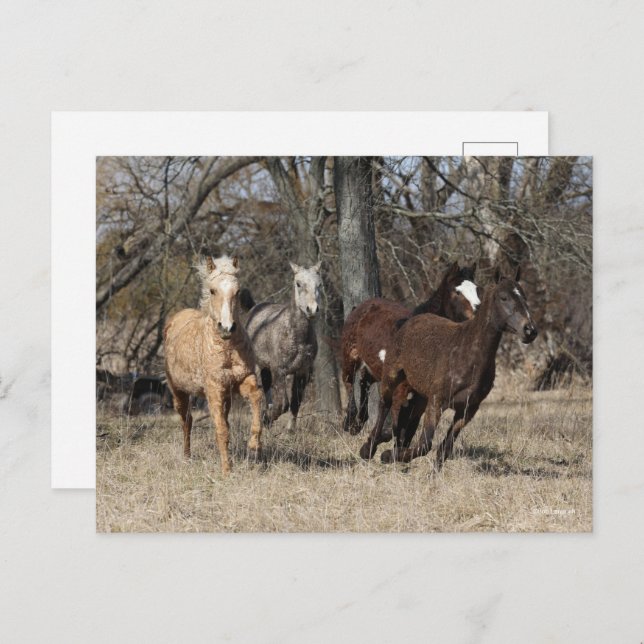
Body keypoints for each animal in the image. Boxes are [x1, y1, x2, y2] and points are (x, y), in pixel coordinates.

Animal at [164, 255, 264, 475]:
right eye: (212, 290)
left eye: (237, 291)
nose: (227, 328)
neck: (226, 348)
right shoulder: (214, 389)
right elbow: (221, 430)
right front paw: (227, 470)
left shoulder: (243, 380)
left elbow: (256, 399)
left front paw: (254, 446)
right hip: (179, 393)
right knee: (186, 421)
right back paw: (187, 458)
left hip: (226, 397)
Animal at [244, 261, 321, 430]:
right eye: (298, 284)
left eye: (319, 284)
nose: (312, 309)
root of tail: (254, 308)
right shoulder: (279, 370)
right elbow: (283, 404)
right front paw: (267, 418)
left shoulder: (302, 371)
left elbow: (295, 402)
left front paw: (290, 430)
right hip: (257, 366)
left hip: (266, 367)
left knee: (266, 387)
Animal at [341, 261, 479, 438]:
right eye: (457, 292)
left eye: (476, 289)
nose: (478, 312)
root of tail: (360, 307)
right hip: (350, 356)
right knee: (349, 380)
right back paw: (350, 423)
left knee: (364, 381)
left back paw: (358, 422)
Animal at [360, 269, 538, 469]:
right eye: (503, 297)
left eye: (524, 296)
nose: (530, 330)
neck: (466, 354)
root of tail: (411, 321)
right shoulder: (437, 402)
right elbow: (425, 444)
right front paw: (388, 455)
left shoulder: (467, 410)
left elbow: (445, 449)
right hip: (392, 377)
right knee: (385, 405)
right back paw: (368, 449)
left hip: (419, 395)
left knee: (407, 417)